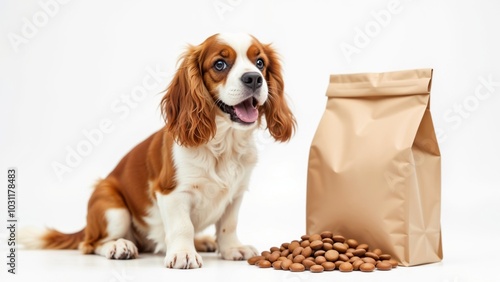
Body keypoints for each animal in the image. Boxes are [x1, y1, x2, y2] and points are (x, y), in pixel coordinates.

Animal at [21, 33, 296, 268]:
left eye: (260, 63)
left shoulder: (236, 194)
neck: (223, 143)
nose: (254, 78)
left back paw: (202, 241)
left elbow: (228, 225)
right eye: (220, 64)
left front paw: (231, 249)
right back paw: (119, 246)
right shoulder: (172, 192)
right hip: (112, 209)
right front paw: (184, 254)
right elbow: (182, 226)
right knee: (90, 244)